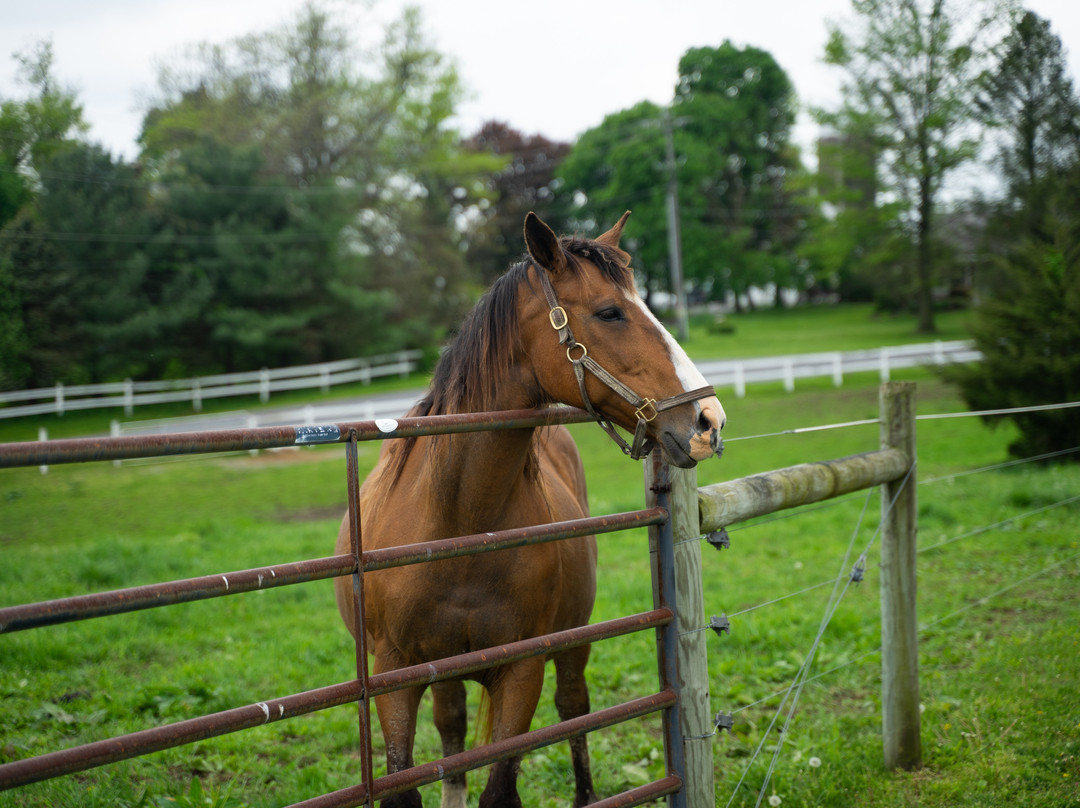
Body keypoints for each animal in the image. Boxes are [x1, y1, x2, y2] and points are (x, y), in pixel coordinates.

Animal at [334, 211, 725, 803]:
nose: (708, 421)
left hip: (570, 644)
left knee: (573, 710)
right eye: (609, 312)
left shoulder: (522, 670)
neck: (459, 522)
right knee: (452, 729)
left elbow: (502, 786)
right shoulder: (394, 676)